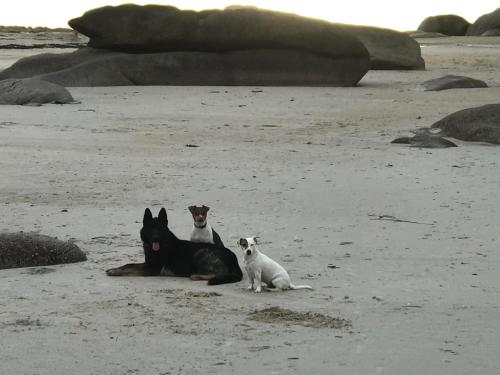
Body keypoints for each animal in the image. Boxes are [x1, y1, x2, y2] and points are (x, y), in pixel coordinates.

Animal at [106, 209, 243, 284]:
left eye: (160, 229)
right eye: (151, 229)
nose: (155, 238)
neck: (162, 244)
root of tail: (234, 259)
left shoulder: (152, 268)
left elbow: (132, 269)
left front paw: (115, 272)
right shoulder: (148, 264)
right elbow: (129, 264)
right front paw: (113, 269)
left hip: (200, 253)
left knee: (219, 274)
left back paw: (196, 275)